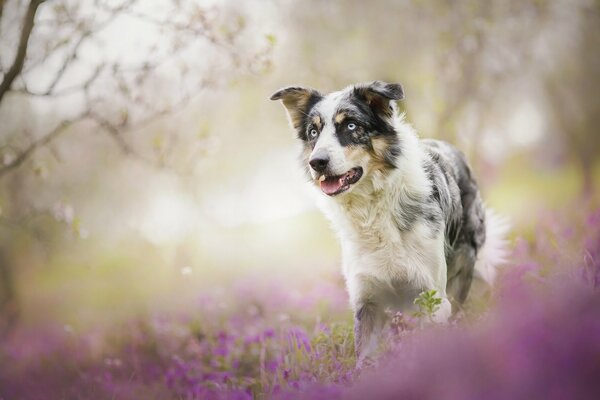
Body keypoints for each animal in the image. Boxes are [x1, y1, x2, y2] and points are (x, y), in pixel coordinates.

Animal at [270, 80, 506, 362]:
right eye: (313, 132)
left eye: (351, 125)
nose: (316, 162)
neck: (372, 209)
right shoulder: (367, 301)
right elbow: (364, 361)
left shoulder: (432, 296)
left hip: (461, 269)